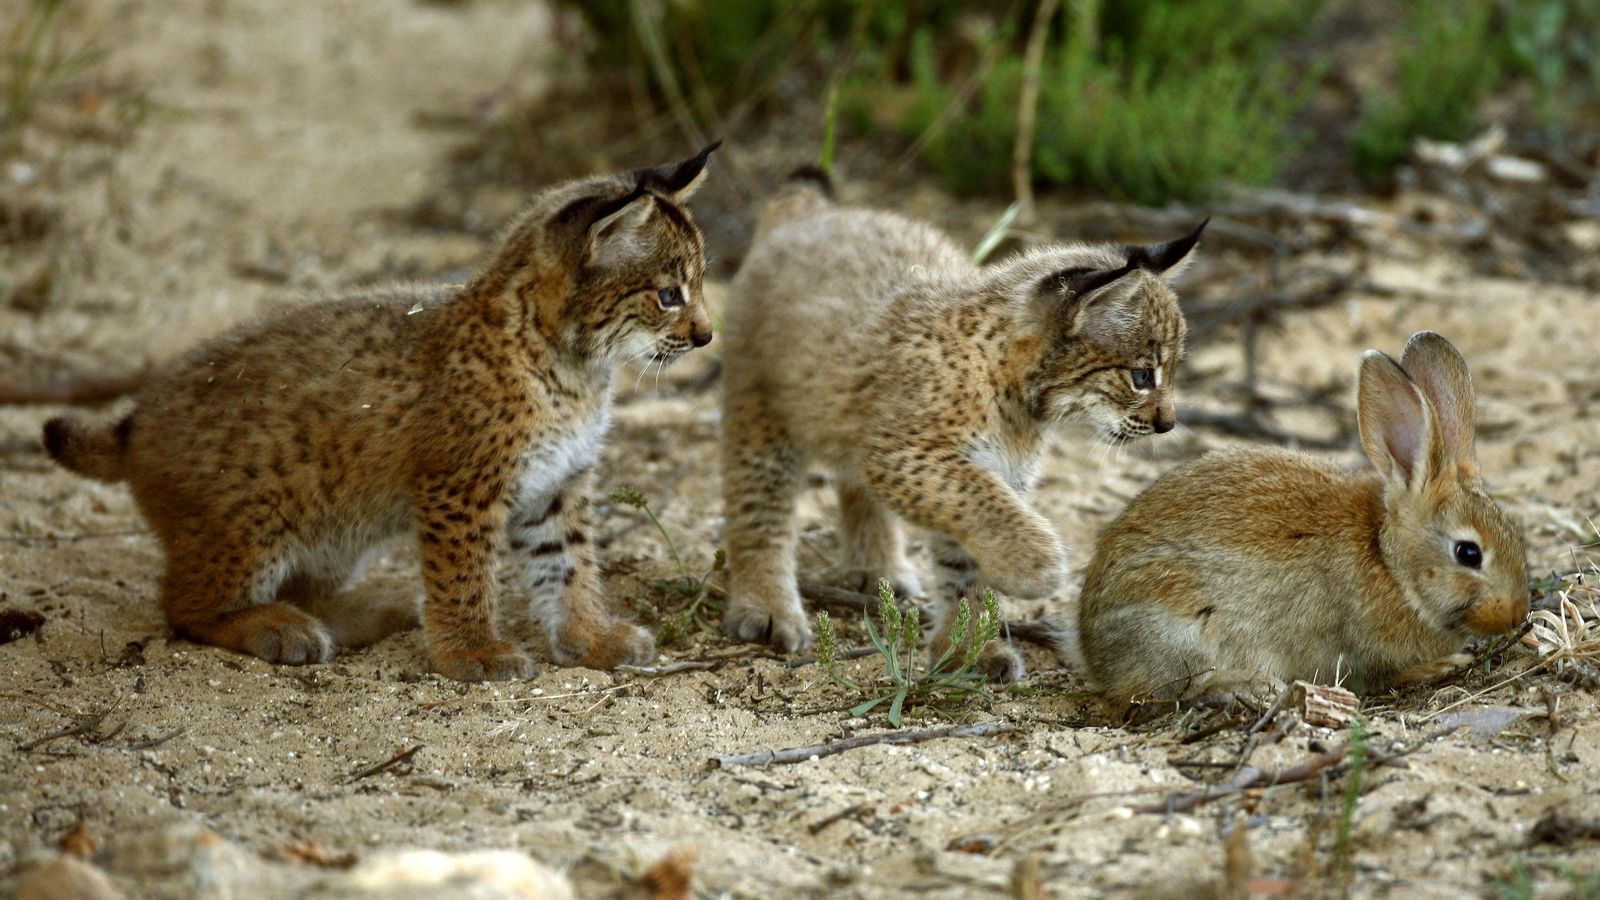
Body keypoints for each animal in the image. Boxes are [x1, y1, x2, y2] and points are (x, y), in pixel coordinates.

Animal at [1076, 331, 1529, 707]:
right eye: (1468, 553)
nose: (1516, 613)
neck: (1390, 563)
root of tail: (1090, 647)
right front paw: (1443, 664)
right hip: (1184, 635)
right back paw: (1245, 686)